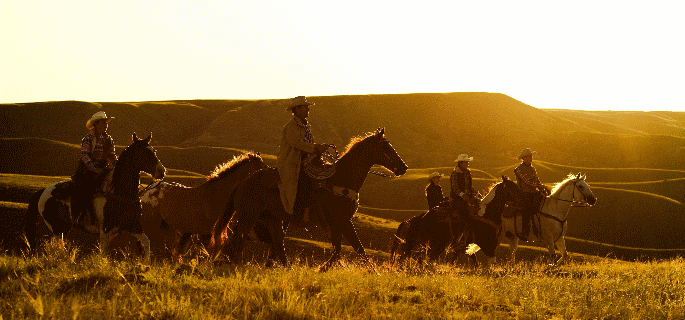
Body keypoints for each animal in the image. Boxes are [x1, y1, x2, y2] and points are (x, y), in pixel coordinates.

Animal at [24, 133, 166, 258]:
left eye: (154, 151)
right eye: (143, 153)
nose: (162, 171)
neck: (118, 191)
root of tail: (44, 191)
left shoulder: (133, 225)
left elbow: (146, 242)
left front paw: (145, 263)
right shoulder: (106, 230)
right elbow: (103, 252)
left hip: (63, 228)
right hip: (57, 227)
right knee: (58, 246)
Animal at [214, 127, 406, 270]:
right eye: (386, 148)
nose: (403, 167)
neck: (341, 179)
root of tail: (242, 183)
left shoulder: (341, 222)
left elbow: (352, 250)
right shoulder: (341, 221)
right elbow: (349, 249)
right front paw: (322, 269)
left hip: (271, 219)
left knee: (276, 244)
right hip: (248, 217)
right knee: (237, 241)